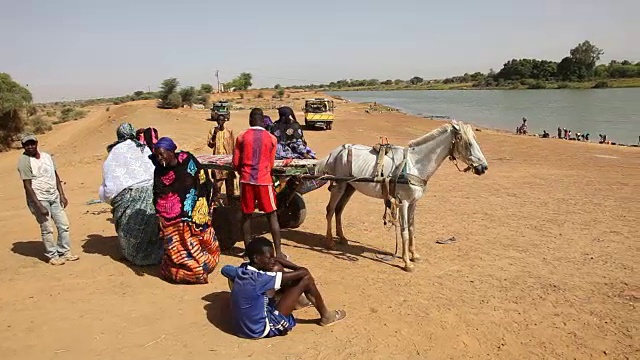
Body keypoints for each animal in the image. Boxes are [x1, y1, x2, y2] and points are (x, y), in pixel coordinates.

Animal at [316, 119, 490, 272]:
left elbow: (412, 228)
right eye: (468, 143)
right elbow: (404, 231)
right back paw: (330, 241)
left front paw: (414, 255)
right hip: (339, 186)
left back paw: (342, 238)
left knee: (339, 210)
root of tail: (334, 153)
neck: (414, 165)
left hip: (349, 187)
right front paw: (407, 262)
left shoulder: (413, 203)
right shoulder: (403, 202)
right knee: (330, 210)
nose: (483, 167)